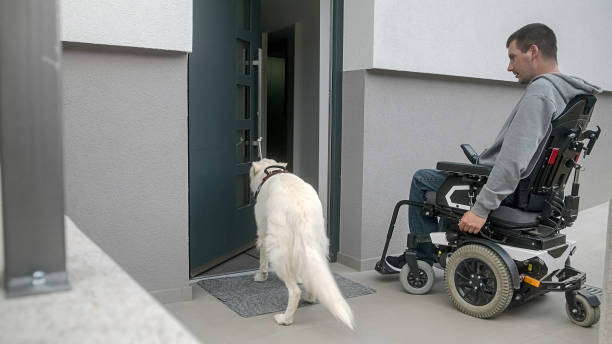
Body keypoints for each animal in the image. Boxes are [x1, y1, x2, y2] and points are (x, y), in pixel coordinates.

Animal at [249, 159, 354, 328]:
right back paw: (310, 298)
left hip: (277, 249)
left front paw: (261, 276)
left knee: (294, 291)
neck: (272, 173)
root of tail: (301, 212)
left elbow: (262, 260)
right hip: (318, 244)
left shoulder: (263, 232)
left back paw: (285, 319)